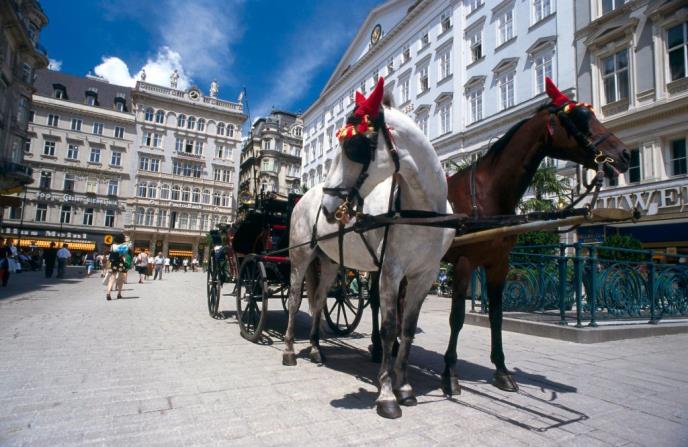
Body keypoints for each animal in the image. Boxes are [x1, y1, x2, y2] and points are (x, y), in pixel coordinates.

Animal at [282, 77, 455, 419]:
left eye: (354, 147)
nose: (329, 206)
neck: (421, 211)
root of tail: (304, 197)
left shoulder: (424, 276)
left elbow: (407, 329)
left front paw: (405, 388)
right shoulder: (390, 272)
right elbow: (389, 329)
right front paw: (387, 394)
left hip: (330, 262)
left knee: (318, 302)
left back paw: (316, 348)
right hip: (301, 256)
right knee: (295, 300)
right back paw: (291, 349)